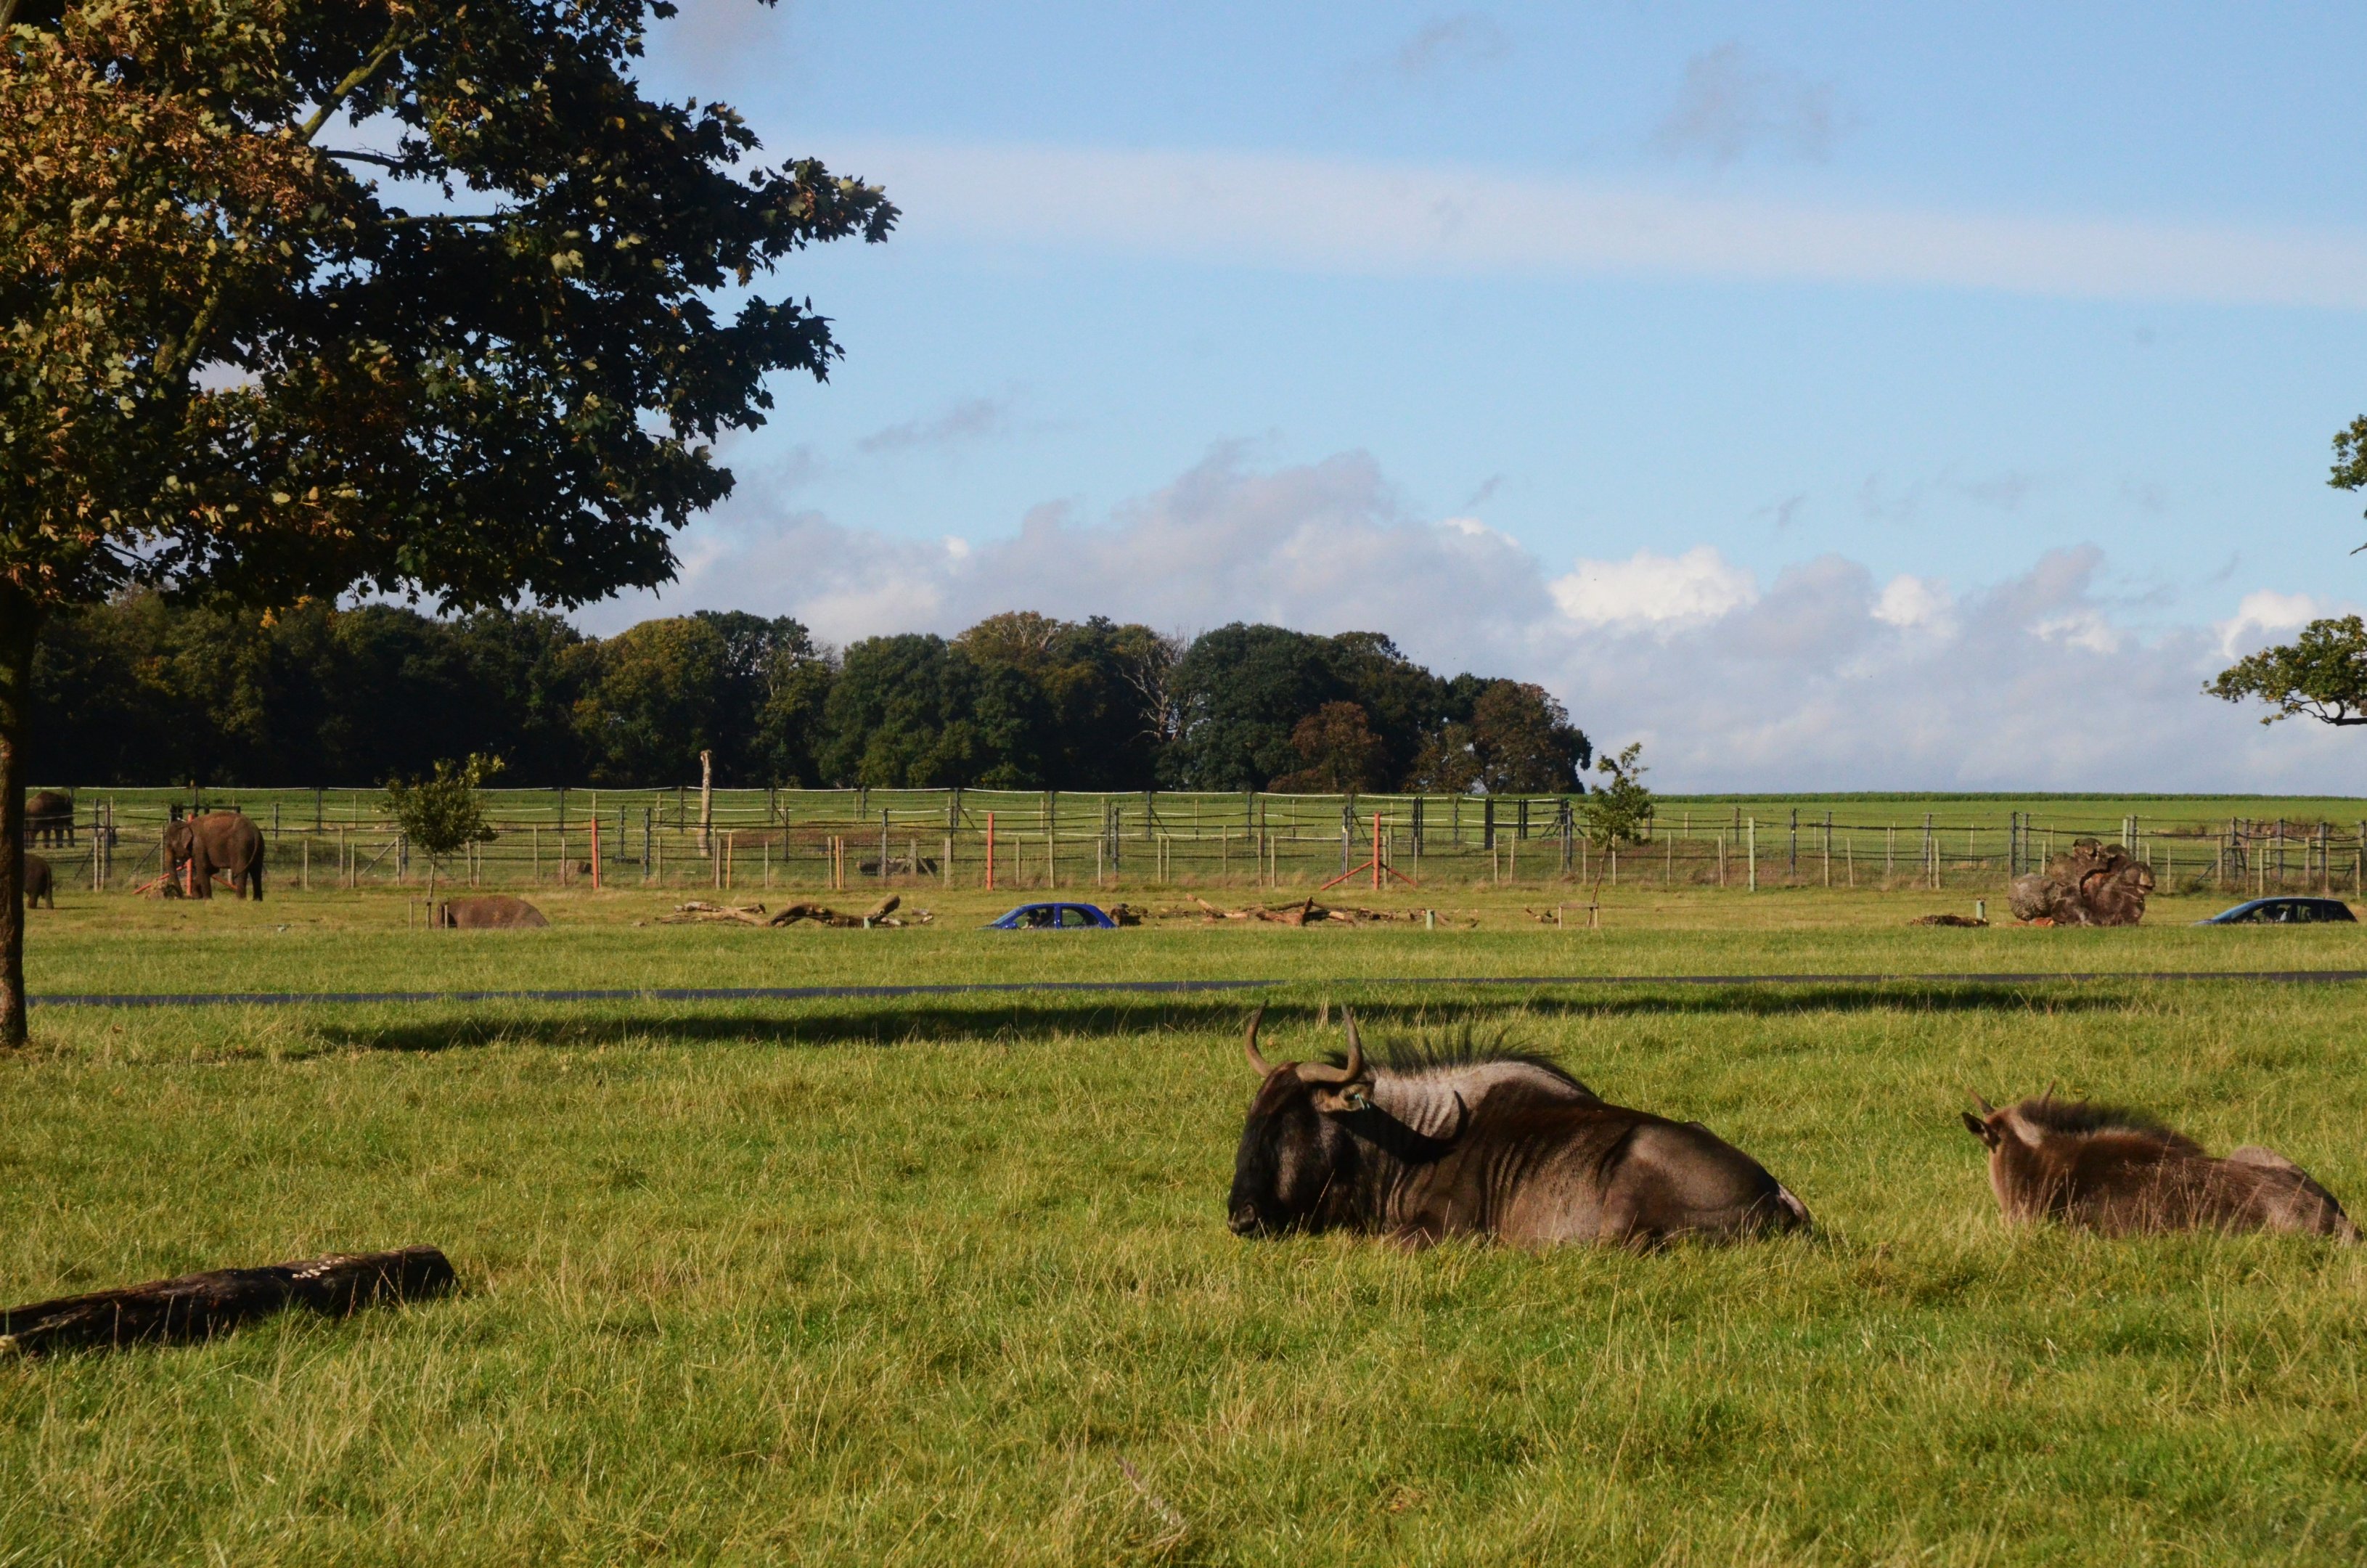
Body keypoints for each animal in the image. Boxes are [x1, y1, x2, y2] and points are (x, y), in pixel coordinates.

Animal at [164, 810, 265, 900]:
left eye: (171, 846)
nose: (184, 897)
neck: (187, 824)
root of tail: (255, 830)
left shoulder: (199, 845)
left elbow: (204, 867)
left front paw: (206, 899)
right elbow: (212, 869)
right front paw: (198, 896)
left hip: (241, 846)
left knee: (240, 870)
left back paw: (240, 900)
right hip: (259, 847)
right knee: (256, 871)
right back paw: (257, 900)